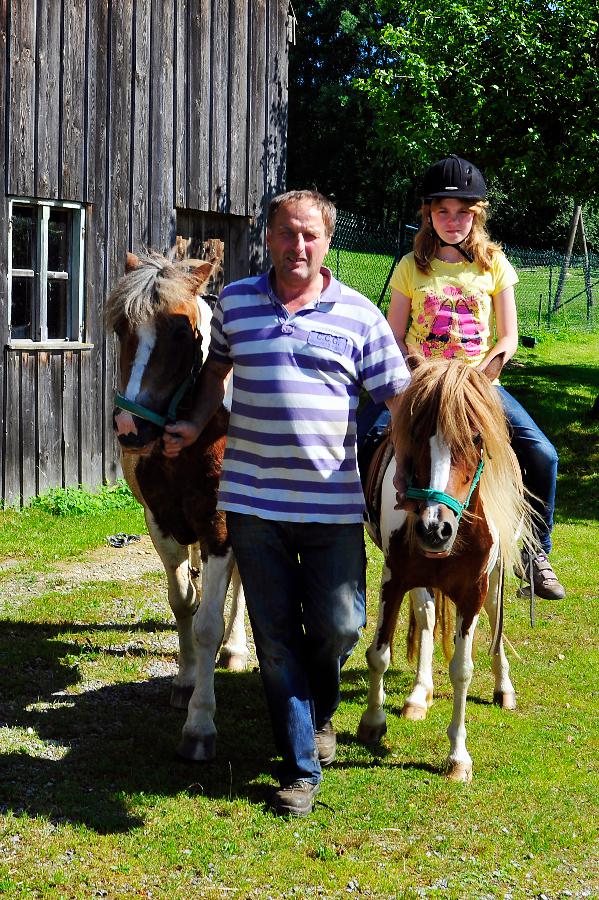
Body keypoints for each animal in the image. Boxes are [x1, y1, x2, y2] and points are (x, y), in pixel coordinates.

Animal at [106, 251, 247, 760]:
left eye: (182, 333)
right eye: (121, 328)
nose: (131, 427)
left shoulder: (220, 529)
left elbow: (207, 624)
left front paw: (200, 724)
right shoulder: (161, 523)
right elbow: (183, 602)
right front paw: (186, 683)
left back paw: (236, 649)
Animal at [356, 356, 536, 780]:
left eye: (476, 437)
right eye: (414, 435)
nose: (434, 528)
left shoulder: (473, 591)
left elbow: (462, 670)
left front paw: (458, 757)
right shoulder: (395, 578)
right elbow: (379, 653)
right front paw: (372, 721)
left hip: (493, 580)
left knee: (495, 620)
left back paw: (504, 687)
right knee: (426, 616)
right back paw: (418, 695)